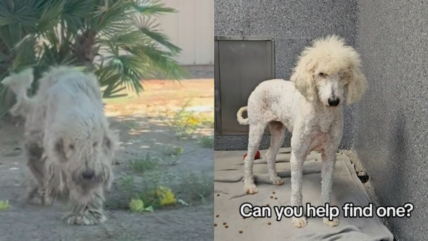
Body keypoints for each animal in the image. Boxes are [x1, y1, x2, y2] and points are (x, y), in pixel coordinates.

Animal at [237, 35, 368, 228]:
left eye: (343, 74)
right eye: (321, 74)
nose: (334, 101)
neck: (322, 116)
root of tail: (261, 84)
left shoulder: (330, 156)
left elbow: (326, 188)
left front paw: (328, 217)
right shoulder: (297, 155)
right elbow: (297, 189)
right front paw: (298, 218)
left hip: (278, 131)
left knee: (269, 155)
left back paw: (273, 178)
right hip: (257, 128)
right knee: (249, 159)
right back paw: (249, 185)